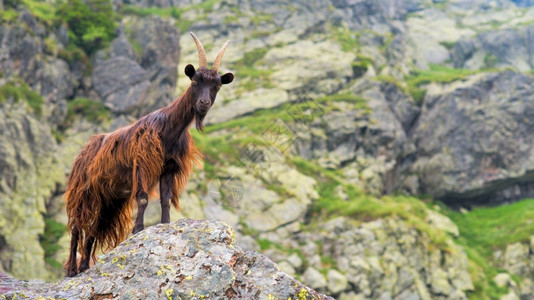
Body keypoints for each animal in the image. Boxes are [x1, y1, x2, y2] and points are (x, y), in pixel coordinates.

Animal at [63, 32, 234, 276]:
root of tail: (83, 152)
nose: (203, 103)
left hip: (108, 199)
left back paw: (85, 266)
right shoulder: (142, 164)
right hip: (83, 192)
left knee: (93, 231)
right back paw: (71, 270)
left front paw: (164, 225)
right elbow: (143, 198)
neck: (169, 129)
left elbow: (166, 199)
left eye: (217, 85)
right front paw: (138, 229)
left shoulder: (169, 167)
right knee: (77, 227)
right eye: (194, 81)